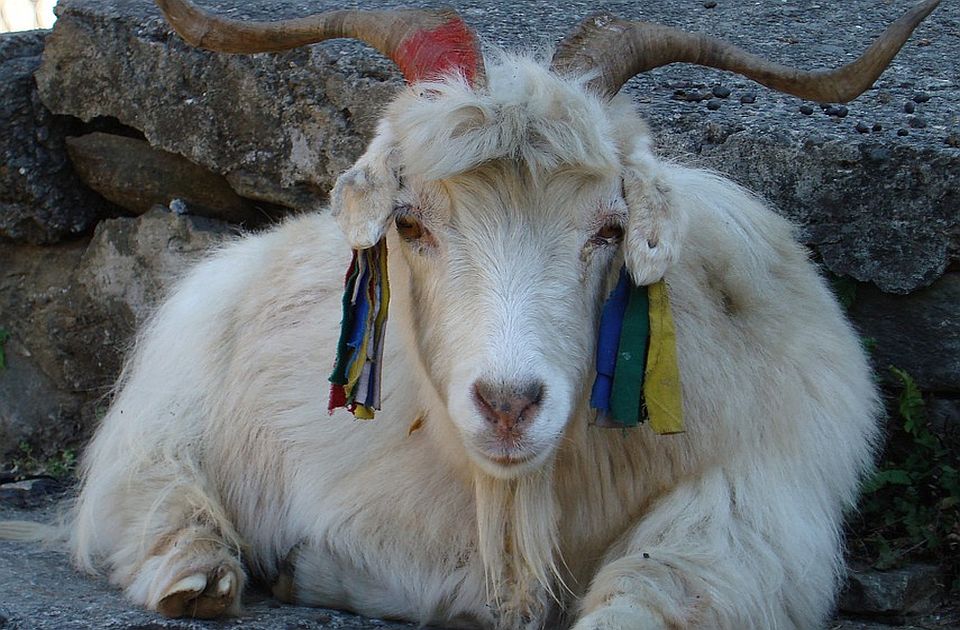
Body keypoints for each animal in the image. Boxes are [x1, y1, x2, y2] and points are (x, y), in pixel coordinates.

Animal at [1, 0, 944, 628]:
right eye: (412, 224)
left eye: (609, 229)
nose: (508, 404)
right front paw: (304, 570)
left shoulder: (763, 501)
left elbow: (662, 579)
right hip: (171, 399)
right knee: (145, 490)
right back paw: (198, 574)